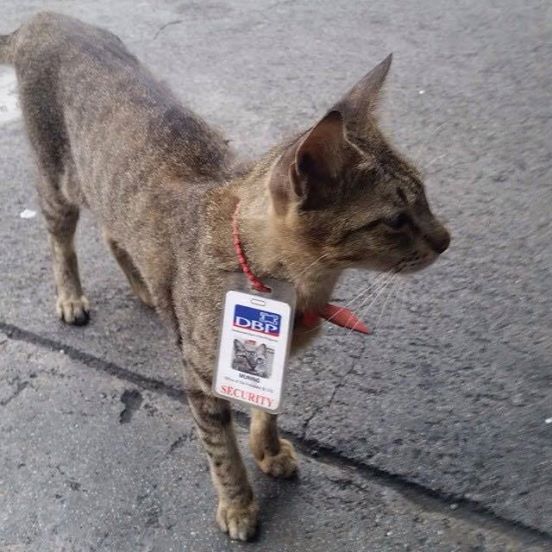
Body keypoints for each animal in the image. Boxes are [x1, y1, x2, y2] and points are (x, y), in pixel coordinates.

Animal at [0, 12, 450, 541]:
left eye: (425, 196)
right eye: (396, 219)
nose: (446, 239)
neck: (296, 290)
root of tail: (46, 18)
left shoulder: (273, 359)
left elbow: (267, 407)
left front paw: (268, 449)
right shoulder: (201, 375)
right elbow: (222, 452)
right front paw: (239, 504)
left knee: (114, 232)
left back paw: (144, 287)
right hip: (58, 182)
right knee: (60, 240)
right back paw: (70, 295)